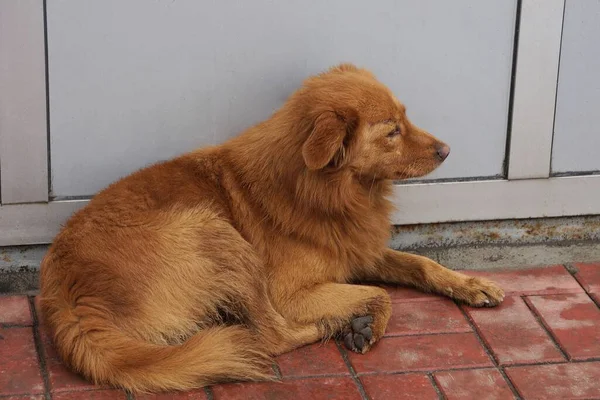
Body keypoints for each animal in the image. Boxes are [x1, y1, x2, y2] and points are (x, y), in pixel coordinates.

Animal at [38, 64, 506, 392]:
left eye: (405, 118)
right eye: (392, 131)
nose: (447, 150)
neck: (324, 189)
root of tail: (67, 293)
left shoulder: (357, 250)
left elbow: (420, 263)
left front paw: (471, 284)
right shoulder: (292, 293)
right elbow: (381, 294)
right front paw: (364, 324)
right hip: (216, 233)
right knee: (270, 335)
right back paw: (329, 326)